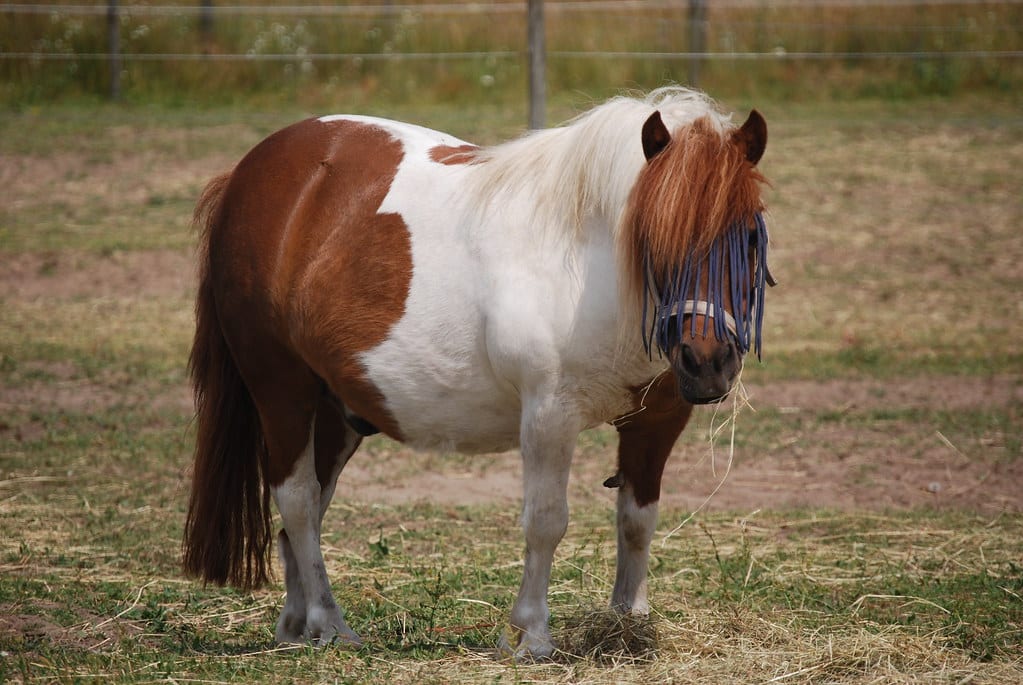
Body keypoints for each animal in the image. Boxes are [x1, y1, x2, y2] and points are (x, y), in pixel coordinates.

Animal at [182, 87, 772, 660]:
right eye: (654, 235)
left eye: (749, 237)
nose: (707, 362)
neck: (588, 260)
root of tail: (247, 174)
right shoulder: (549, 415)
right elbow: (546, 521)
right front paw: (532, 635)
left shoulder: (657, 421)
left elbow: (636, 521)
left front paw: (630, 622)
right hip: (281, 390)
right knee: (299, 500)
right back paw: (331, 625)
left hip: (335, 410)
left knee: (305, 515)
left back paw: (297, 625)